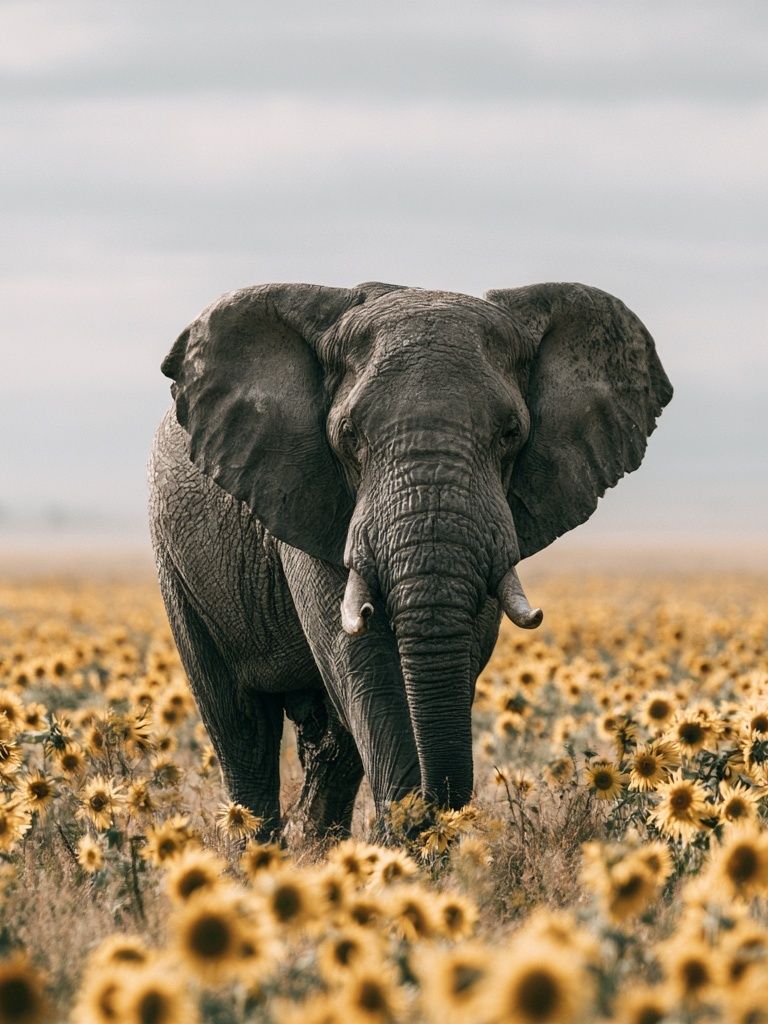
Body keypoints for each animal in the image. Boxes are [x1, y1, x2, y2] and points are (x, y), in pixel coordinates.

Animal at [148, 281, 672, 840]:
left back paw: (316, 845)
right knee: (240, 725)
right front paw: (408, 841)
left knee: (330, 744)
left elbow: (461, 646)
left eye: (511, 433)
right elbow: (364, 659)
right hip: (176, 563)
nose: (440, 806)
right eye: (348, 434)